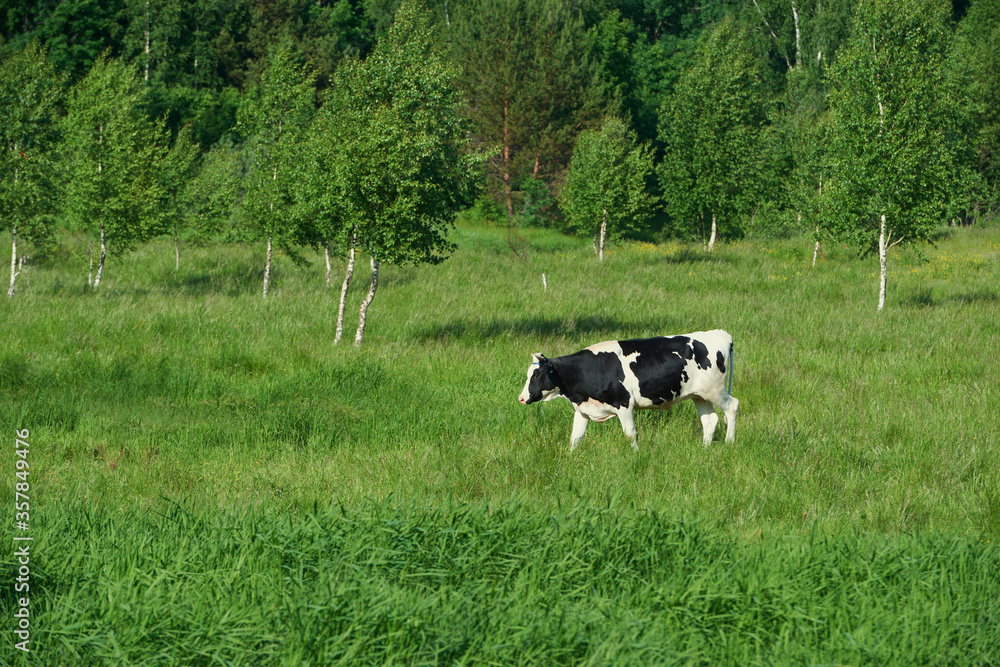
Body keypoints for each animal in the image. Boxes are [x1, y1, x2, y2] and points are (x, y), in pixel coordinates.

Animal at [520, 330, 740, 452]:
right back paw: (705, 448)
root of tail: (720, 334)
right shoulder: (583, 409)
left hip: (715, 390)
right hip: (699, 396)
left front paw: (635, 454)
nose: (521, 398)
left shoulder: (624, 404)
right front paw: (571, 457)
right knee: (710, 420)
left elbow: (630, 434)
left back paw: (729, 443)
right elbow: (576, 437)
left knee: (732, 406)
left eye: (536, 375)